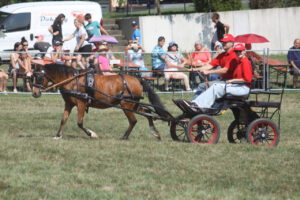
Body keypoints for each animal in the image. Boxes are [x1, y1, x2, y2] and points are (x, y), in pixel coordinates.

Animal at [32, 63, 169, 139]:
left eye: (39, 77)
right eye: (32, 76)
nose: (34, 93)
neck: (72, 81)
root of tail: (137, 79)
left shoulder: (81, 103)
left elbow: (80, 123)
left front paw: (92, 134)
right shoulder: (69, 104)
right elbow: (63, 120)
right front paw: (58, 135)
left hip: (127, 105)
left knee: (133, 120)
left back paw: (125, 137)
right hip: (133, 104)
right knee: (148, 113)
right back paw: (155, 133)